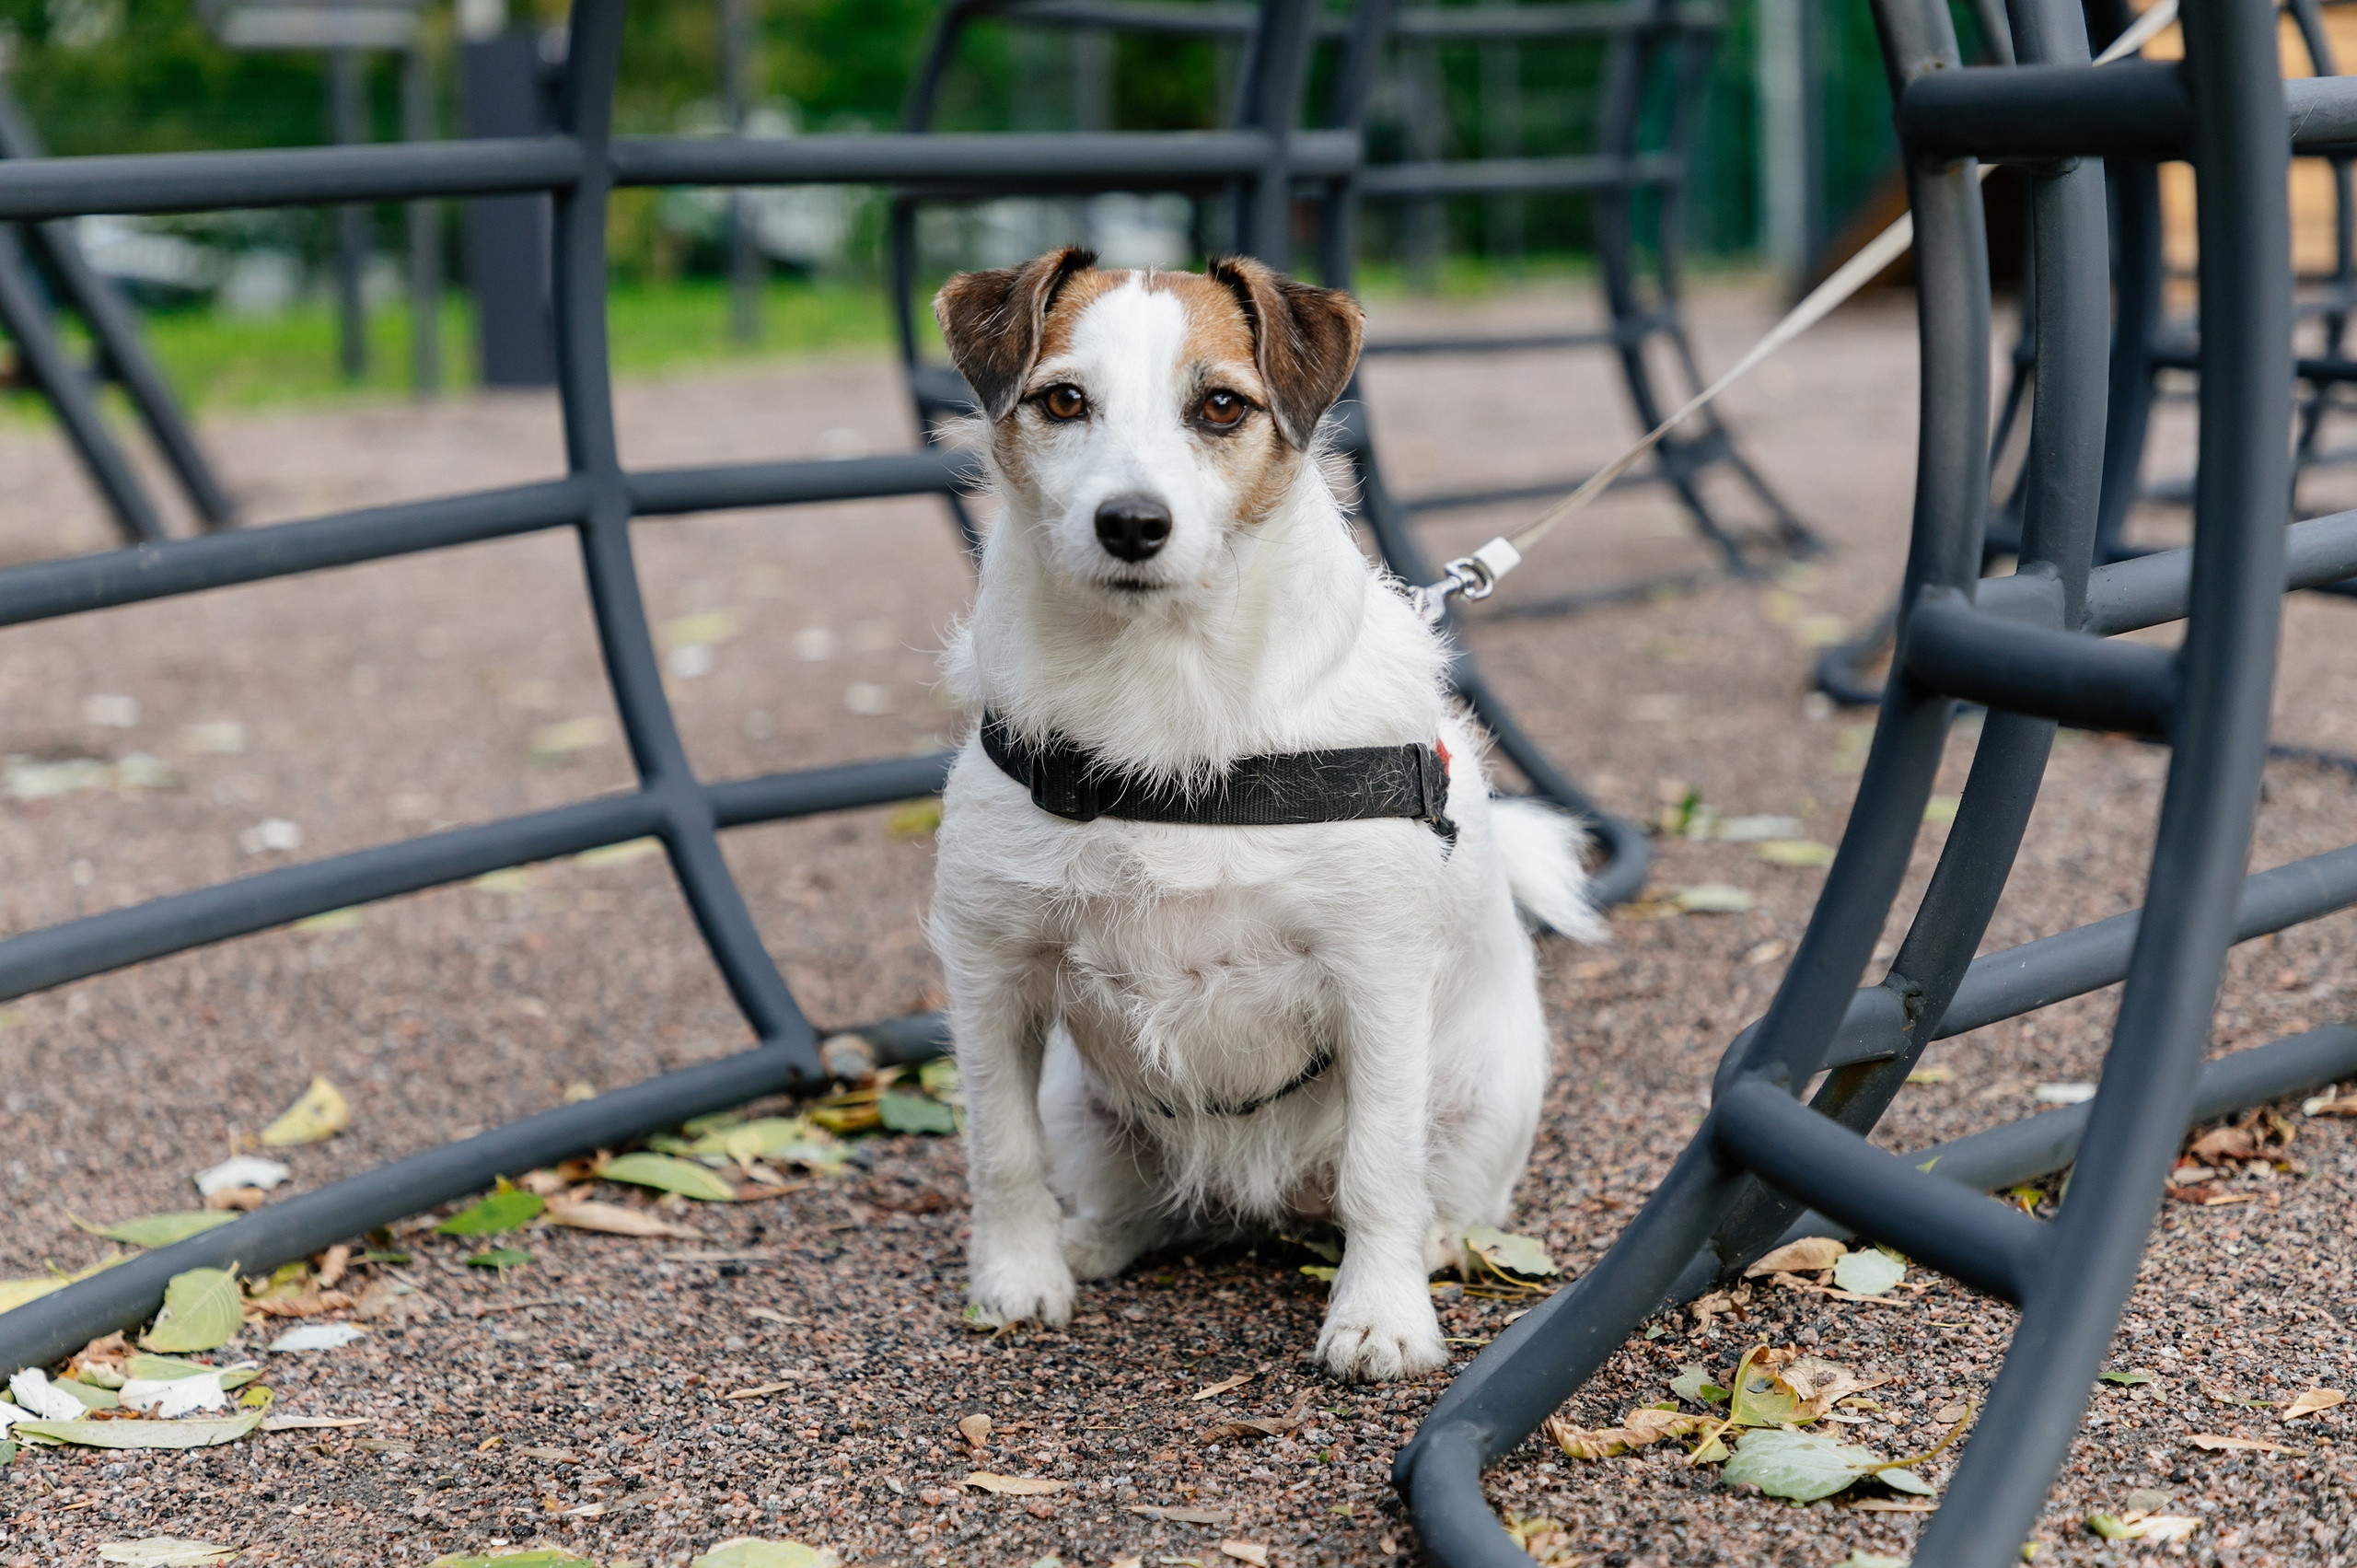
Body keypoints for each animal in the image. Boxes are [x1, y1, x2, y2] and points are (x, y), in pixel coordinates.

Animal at [923, 247, 1602, 1386]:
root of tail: (1262, 1200)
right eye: (1063, 400)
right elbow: (1001, 1149)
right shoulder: (990, 972)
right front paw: (1016, 1276)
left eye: (1220, 406)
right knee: (1147, 1202)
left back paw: (1430, 1243)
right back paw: (1093, 1236)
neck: (1160, 688)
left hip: (1486, 1096)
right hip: (1082, 1103)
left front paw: (1380, 1315)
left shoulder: (1374, 977)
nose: (1132, 523)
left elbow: (1380, 1167)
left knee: (1425, 1192)